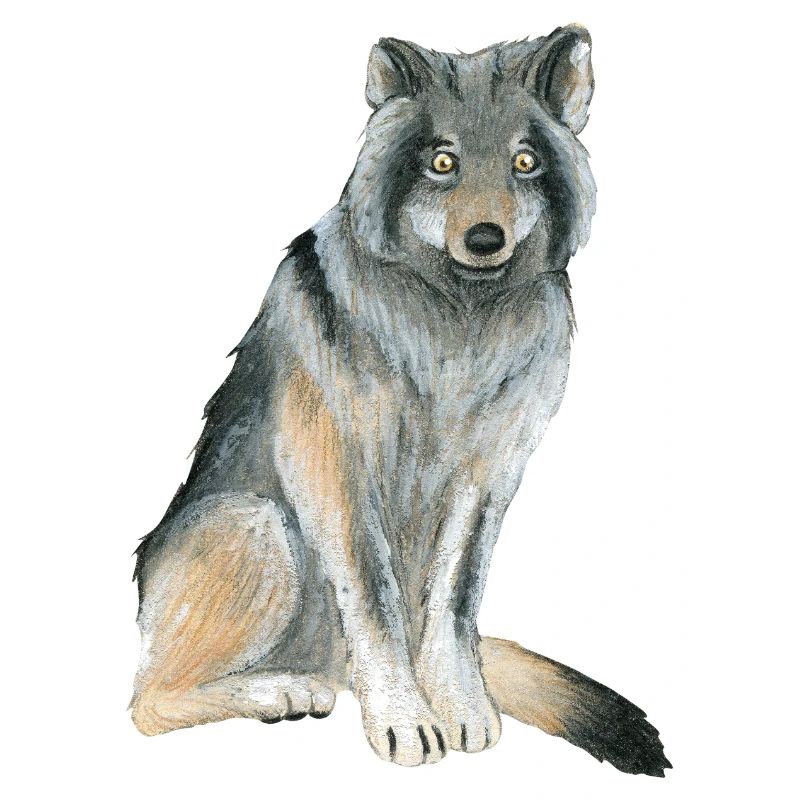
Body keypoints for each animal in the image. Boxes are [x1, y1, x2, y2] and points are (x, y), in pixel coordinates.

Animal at [131, 26, 670, 775]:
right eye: (442, 162)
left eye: (524, 163)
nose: (485, 239)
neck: (458, 319)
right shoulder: (339, 470)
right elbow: (375, 596)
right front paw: (405, 719)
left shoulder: (488, 477)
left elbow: (454, 601)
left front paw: (462, 706)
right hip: (259, 525)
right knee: (144, 702)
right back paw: (279, 690)